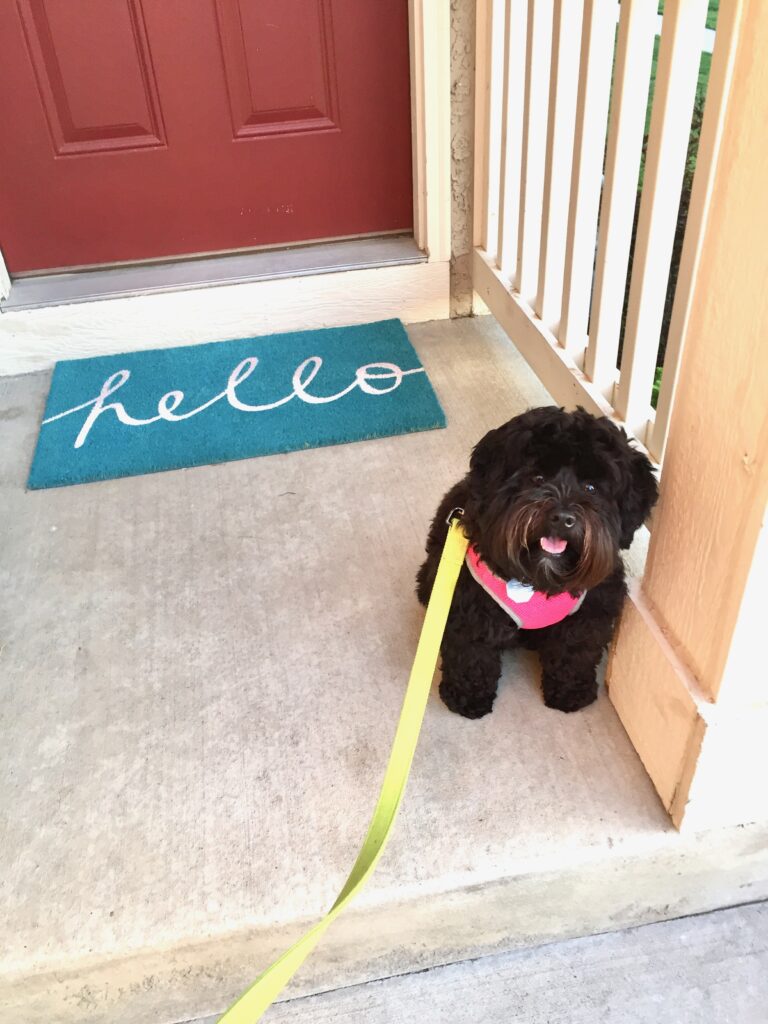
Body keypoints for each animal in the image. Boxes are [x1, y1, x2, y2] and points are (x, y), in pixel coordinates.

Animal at [417, 407, 659, 720]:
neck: (539, 579)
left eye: (591, 487)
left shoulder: (591, 609)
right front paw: (467, 696)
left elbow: (575, 650)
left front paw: (571, 691)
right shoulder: (470, 607)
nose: (562, 517)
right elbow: (472, 654)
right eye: (537, 478)